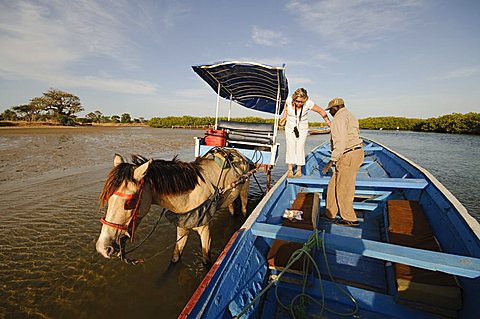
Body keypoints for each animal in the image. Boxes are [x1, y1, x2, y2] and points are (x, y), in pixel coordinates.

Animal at [94, 149, 251, 266]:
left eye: (131, 201)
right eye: (108, 198)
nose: (103, 248)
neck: (191, 194)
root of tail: (237, 153)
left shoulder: (205, 230)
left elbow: (206, 260)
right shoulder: (182, 226)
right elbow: (176, 257)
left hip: (244, 190)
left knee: (243, 206)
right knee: (232, 206)